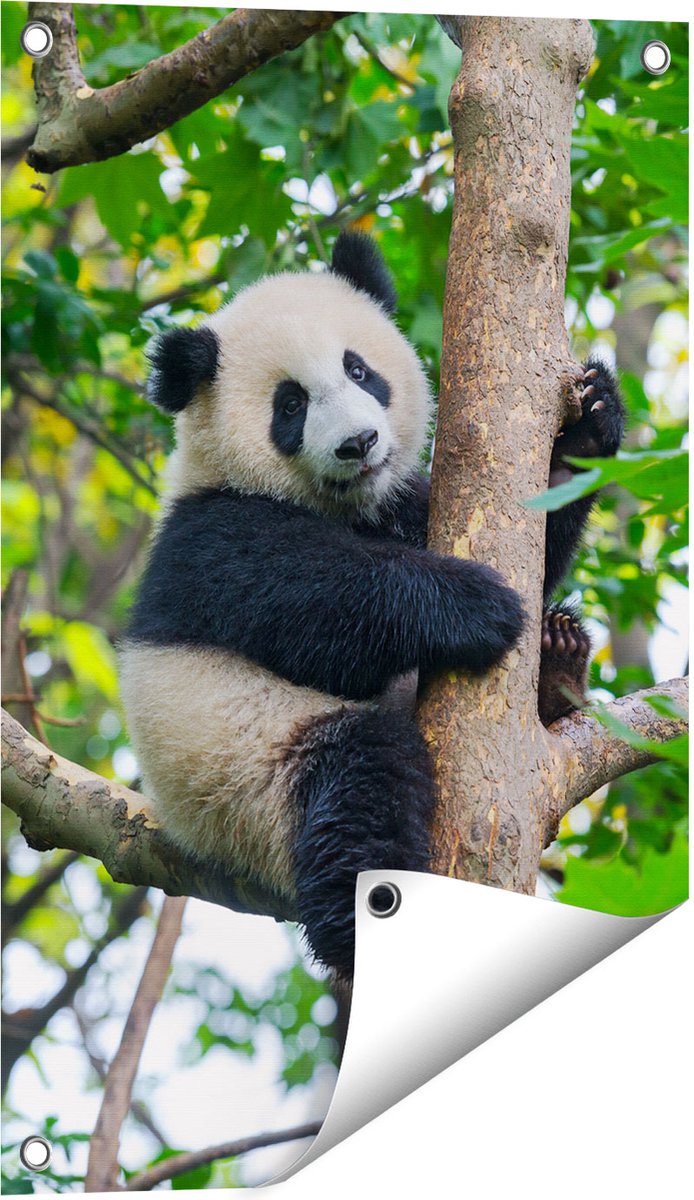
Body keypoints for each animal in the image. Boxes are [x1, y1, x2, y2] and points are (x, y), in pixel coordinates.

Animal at [120, 232, 624, 981]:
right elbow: (318, 606)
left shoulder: (403, 506)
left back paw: (559, 660)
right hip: (249, 775)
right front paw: (476, 606)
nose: (359, 444)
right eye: (290, 406)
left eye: (359, 370)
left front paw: (587, 428)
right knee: (357, 788)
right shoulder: (211, 538)